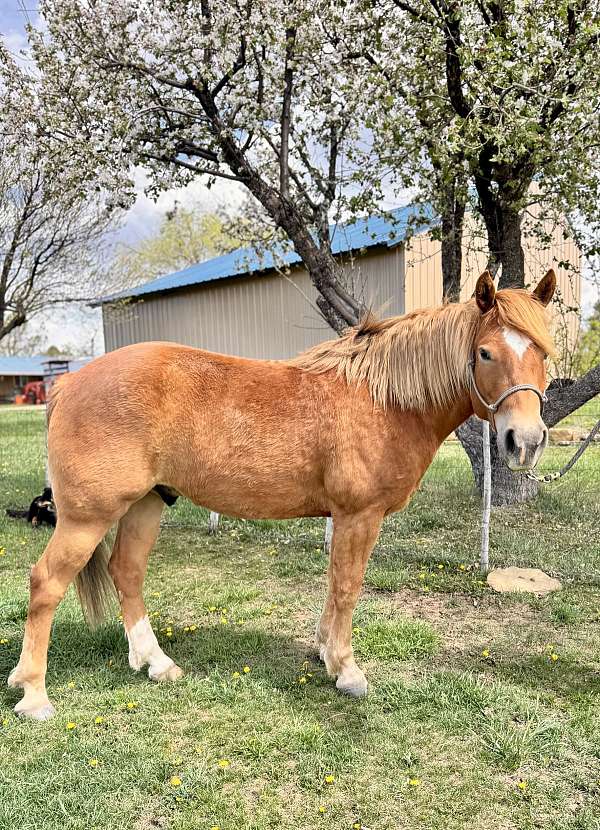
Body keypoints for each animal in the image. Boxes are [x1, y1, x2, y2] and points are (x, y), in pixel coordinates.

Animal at [8, 269, 556, 719]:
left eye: (543, 353)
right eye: (485, 353)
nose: (525, 442)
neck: (383, 401)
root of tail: (70, 382)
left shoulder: (344, 517)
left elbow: (334, 585)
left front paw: (325, 652)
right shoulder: (359, 514)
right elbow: (347, 586)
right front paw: (346, 669)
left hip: (146, 504)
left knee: (126, 572)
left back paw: (155, 663)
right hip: (87, 517)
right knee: (46, 584)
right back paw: (34, 694)